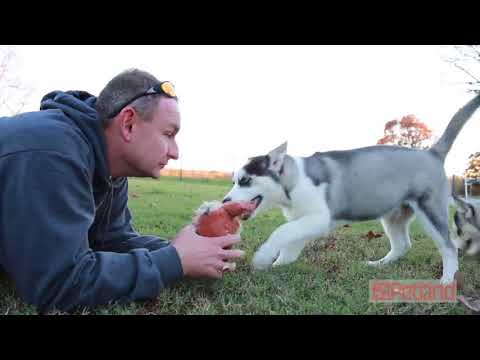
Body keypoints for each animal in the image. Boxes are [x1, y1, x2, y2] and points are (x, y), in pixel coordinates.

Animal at [224, 93, 480, 284]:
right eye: (234, 180)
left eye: (245, 180)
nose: (225, 202)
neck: (292, 183)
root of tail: (432, 153)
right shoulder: (304, 221)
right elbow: (290, 241)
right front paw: (279, 264)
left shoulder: (319, 218)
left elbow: (281, 231)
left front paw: (263, 257)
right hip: (394, 215)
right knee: (402, 245)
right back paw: (379, 265)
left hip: (430, 210)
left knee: (449, 247)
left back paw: (447, 280)